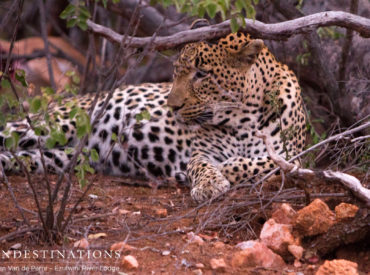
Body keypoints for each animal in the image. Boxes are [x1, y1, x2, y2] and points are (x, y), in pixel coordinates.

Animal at [0, 31, 306, 204]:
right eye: (176, 73)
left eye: (202, 74)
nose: (172, 106)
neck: (244, 119)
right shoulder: (201, 152)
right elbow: (202, 165)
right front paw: (209, 183)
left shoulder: (296, 157)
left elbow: (262, 163)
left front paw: (227, 169)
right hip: (54, 125)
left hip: (61, 156)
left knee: (19, 156)